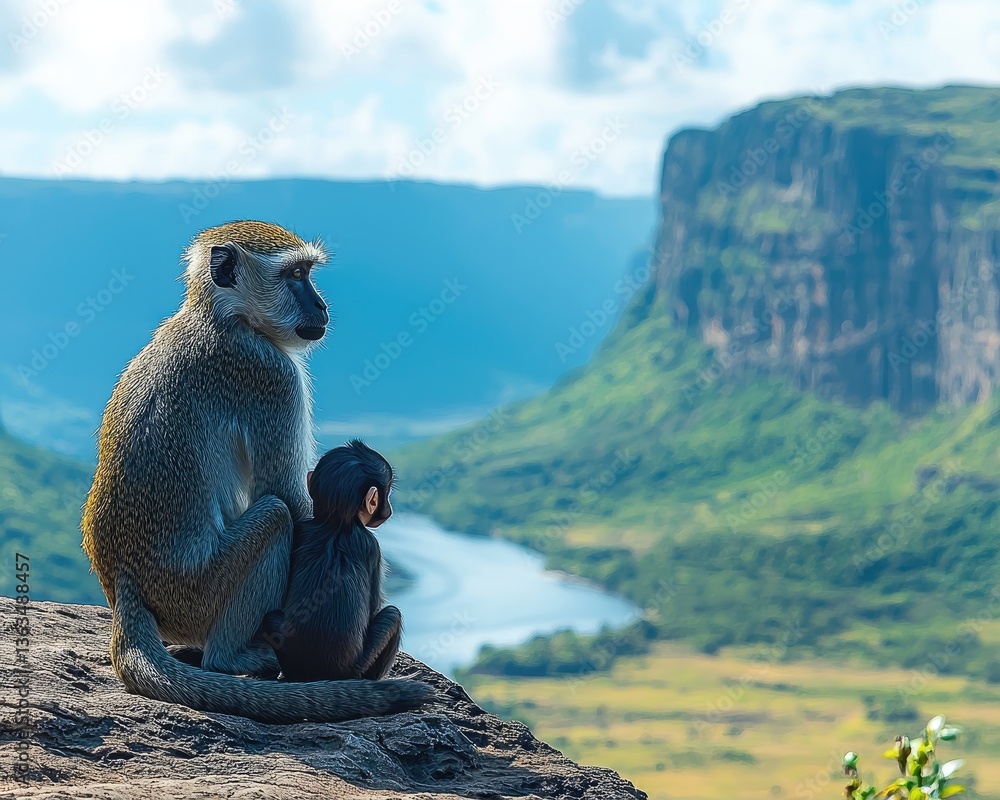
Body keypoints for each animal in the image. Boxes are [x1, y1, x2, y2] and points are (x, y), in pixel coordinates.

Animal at [261, 440, 403, 683]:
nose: (390, 509)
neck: (336, 524)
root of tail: (321, 674)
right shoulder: (371, 547)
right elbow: (375, 607)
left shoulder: (301, 529)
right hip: (359, 667)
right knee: (392, 615)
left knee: (270, 618)